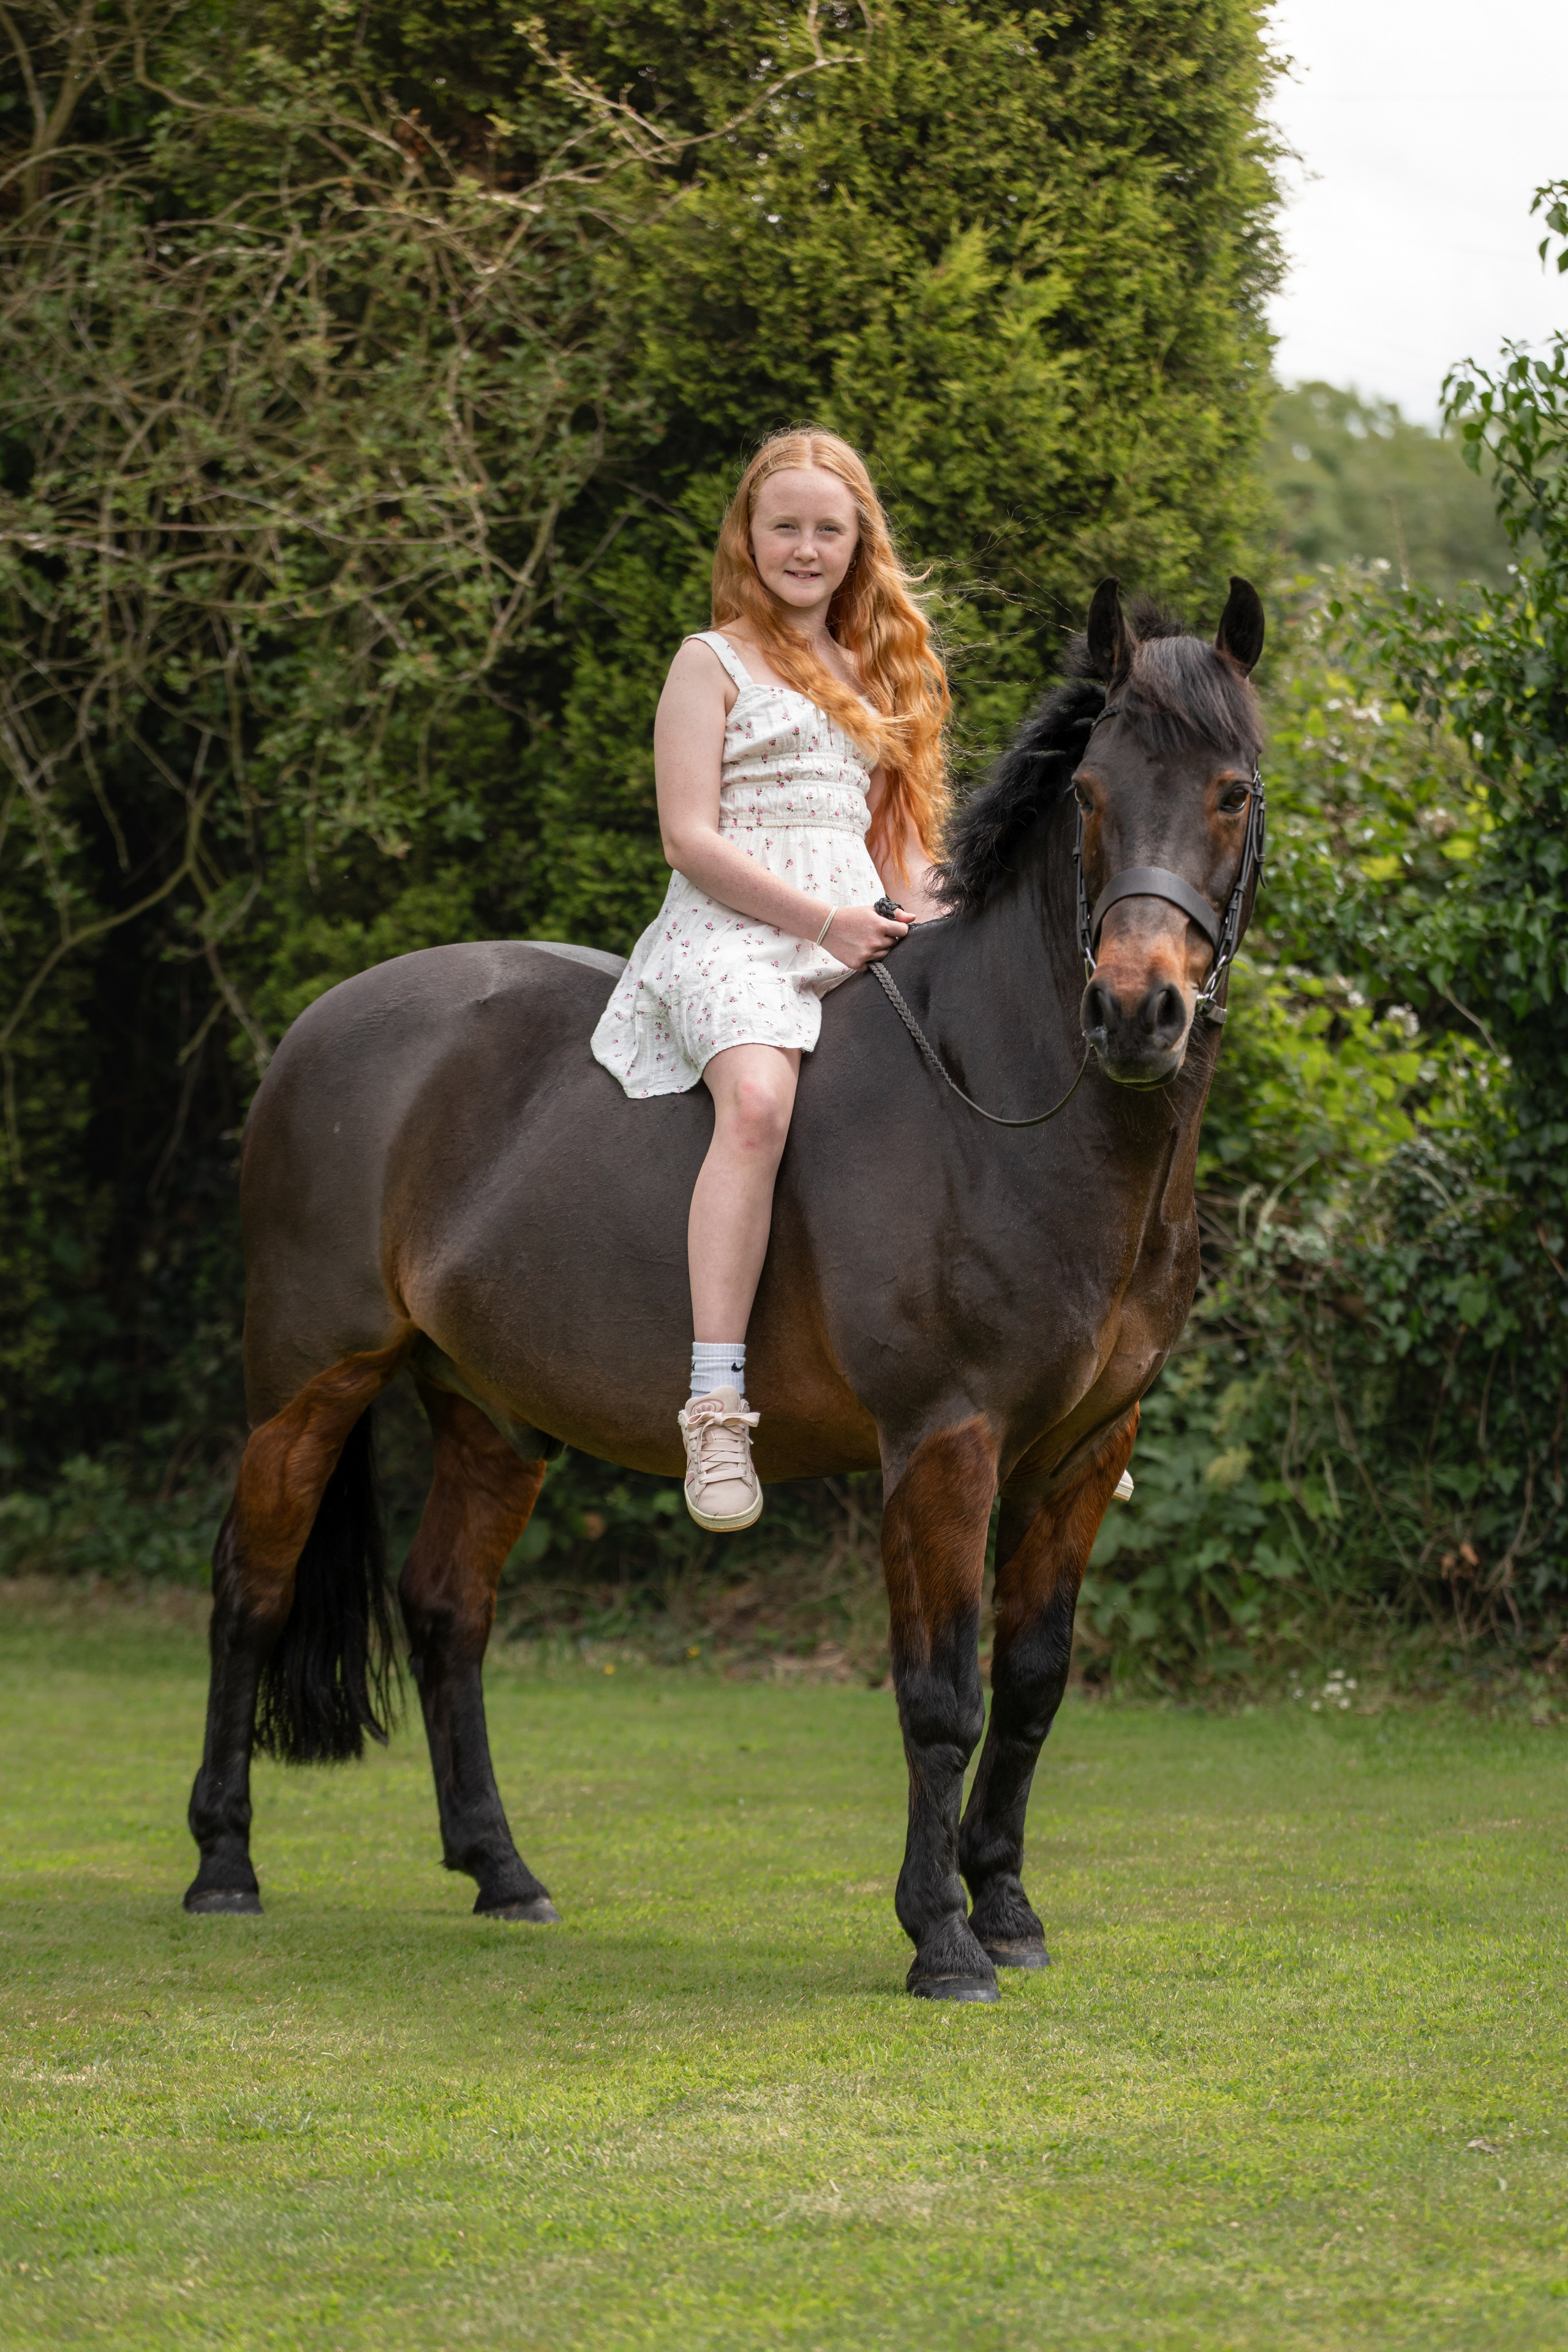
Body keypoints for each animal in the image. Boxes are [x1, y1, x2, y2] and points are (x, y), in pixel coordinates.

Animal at [183, 575, 1266, 2002]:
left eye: (1232, 792)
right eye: (1087, 793)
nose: (1138, 1010)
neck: (1002, 1109)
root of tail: (320, 1027)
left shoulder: (1086, 1447)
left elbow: (1032, 1682)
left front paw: (1007, 1908)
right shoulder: (945, 1442)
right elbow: (942, 1694)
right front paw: (941, 1938)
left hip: (491, 1415)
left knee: (446, 1612)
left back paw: (502, 1872)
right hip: (308, 1387)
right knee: (249, 1592)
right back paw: (223, 1865)